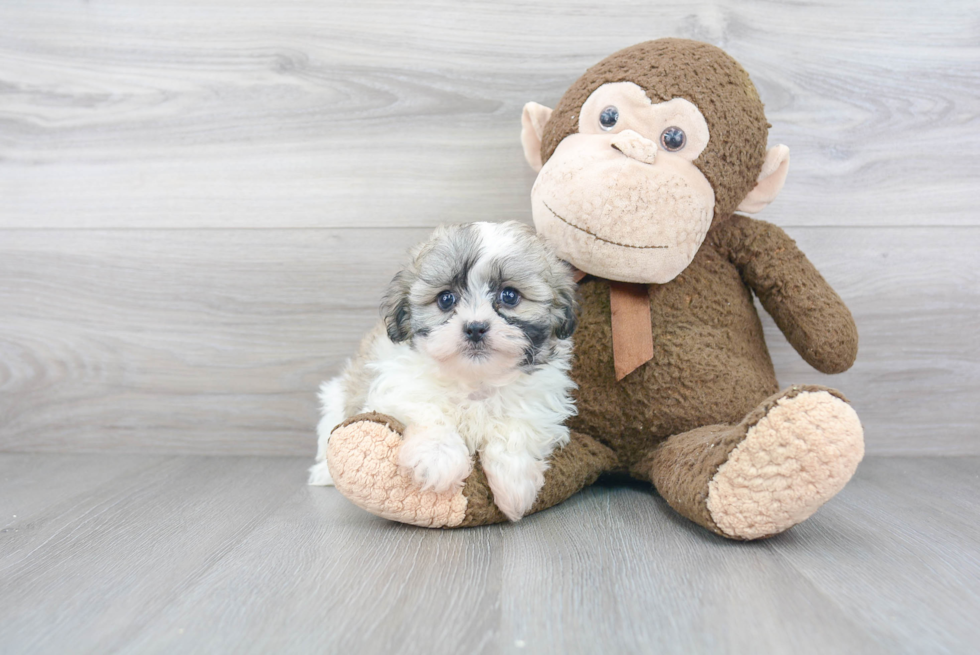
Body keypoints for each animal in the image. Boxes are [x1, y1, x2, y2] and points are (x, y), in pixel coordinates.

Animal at [310, 222, 580, 524]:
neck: (476, 379)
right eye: (446, 299)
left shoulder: (538, 403)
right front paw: (437, 460)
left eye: (509, 296)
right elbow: (429, 409)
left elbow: (516, 429)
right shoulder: (397, 387)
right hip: (335, 399)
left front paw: (514, 485)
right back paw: (322, 473)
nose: (475, 328)